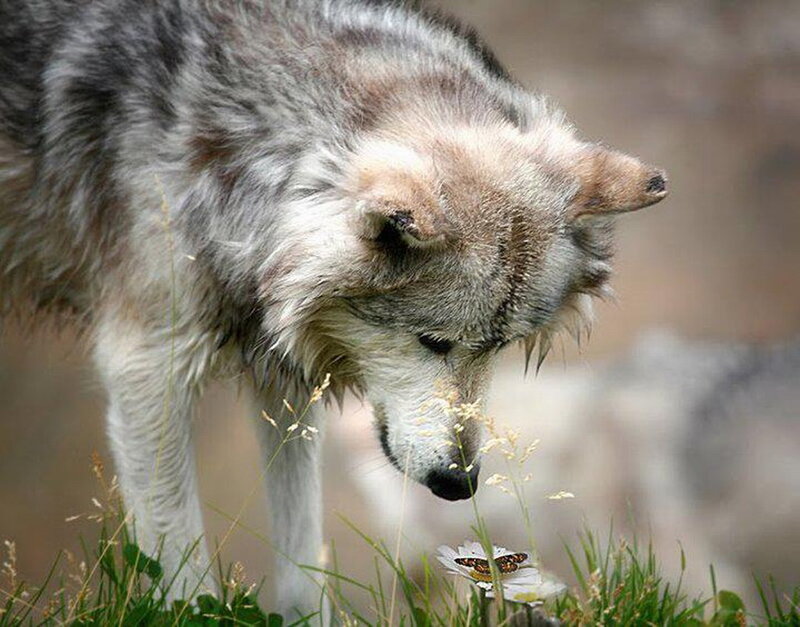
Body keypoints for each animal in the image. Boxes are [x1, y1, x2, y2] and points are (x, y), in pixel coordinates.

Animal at [0, 0, 667, 616]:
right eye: (433, 341)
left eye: (498, 345)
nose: (460, 483)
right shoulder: (146, 372)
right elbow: (182, 575)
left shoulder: (286, 382)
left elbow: (301, 562)